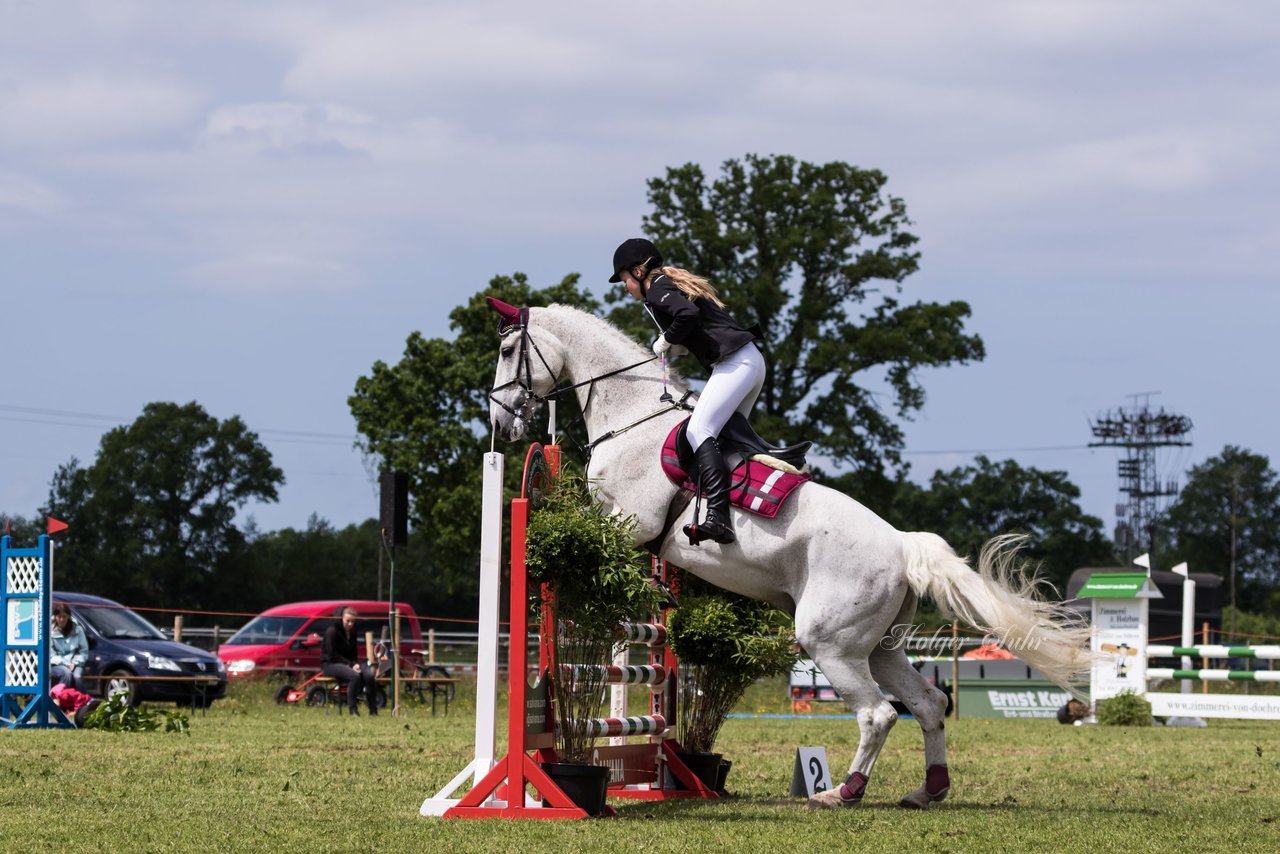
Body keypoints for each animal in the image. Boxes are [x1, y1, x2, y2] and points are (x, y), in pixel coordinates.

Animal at [488, 303, 1090, 814]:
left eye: (506, 350)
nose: (501, 424)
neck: (632, 417)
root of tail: (901, 543)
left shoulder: (628, 523)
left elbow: (580, 527)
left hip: (831, 643)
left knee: (876, 714)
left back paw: (841, 792)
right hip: (880, 647)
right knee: (925, 704)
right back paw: (927, 790)